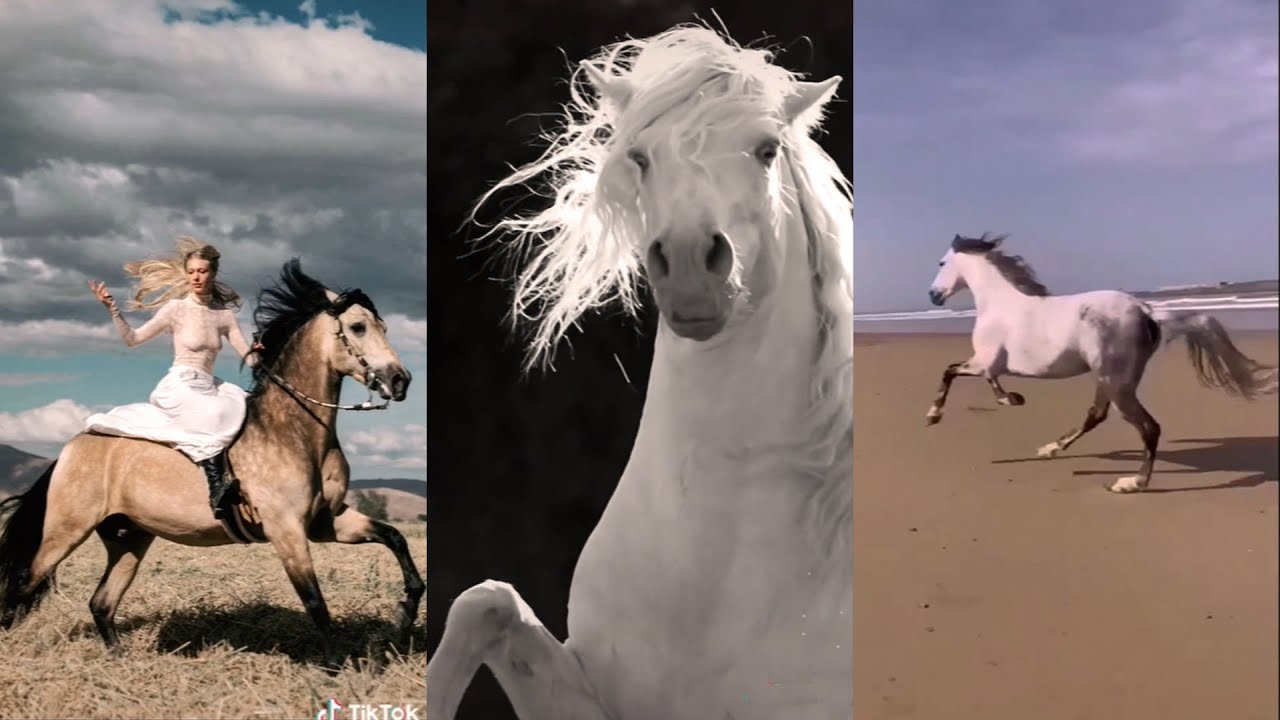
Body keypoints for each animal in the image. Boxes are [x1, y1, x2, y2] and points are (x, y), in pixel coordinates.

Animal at [0, 260, 424, 669]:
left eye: (384, 326)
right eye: (358, 327)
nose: (400, 381)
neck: (296, 432)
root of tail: (71, 448)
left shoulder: (326, 521)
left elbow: (395, 539)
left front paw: (401, 622)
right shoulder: (287, 531)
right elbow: (315, 601)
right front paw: (336, 667)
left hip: (129, 538)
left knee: (101, 602)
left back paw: (123, 661)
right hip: (66, 531)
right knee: (24, 581)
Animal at [925, 232, 1278, 493]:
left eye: (941, 262)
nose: (933, 295)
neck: (1001, 303)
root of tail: (1147, 312)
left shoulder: (983, 362)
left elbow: (950, 371)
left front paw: (933, 416)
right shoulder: (990, 366)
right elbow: (986, 381)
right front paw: (1012, 398)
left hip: (1115, 382)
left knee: (1147, 427)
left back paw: (1132, 483)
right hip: (1111, 380)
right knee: (1097, 414)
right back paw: (1051, 449)